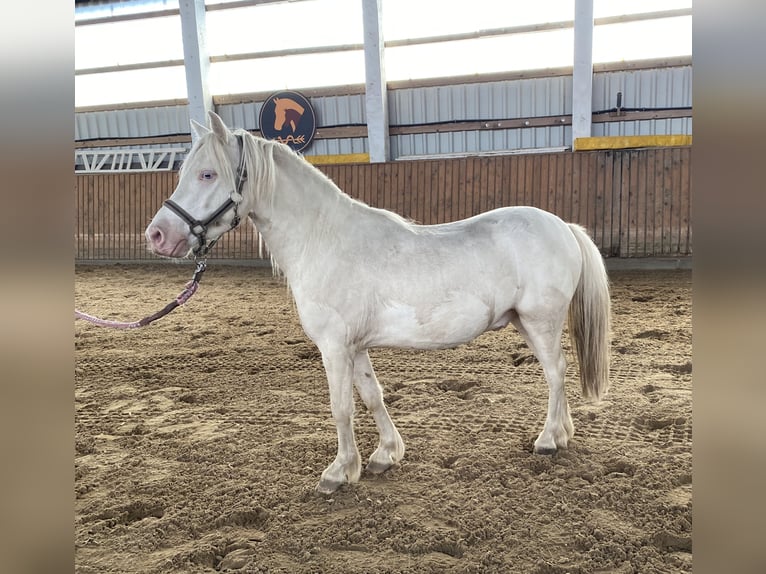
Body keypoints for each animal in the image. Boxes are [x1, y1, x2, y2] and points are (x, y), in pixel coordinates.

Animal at [145, 111, 611, 494]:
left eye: (207, 174)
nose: (158, 235)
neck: (324, 240)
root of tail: (563, 226)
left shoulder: (333, 346)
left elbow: (341, 407)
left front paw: (338, 472)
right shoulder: (355, 347)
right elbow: (372, 396)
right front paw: (386, 454)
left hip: (541, 321)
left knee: (556, 373)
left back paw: (548, 440)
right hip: (524, 322)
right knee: (556, 375)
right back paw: (562, 433)